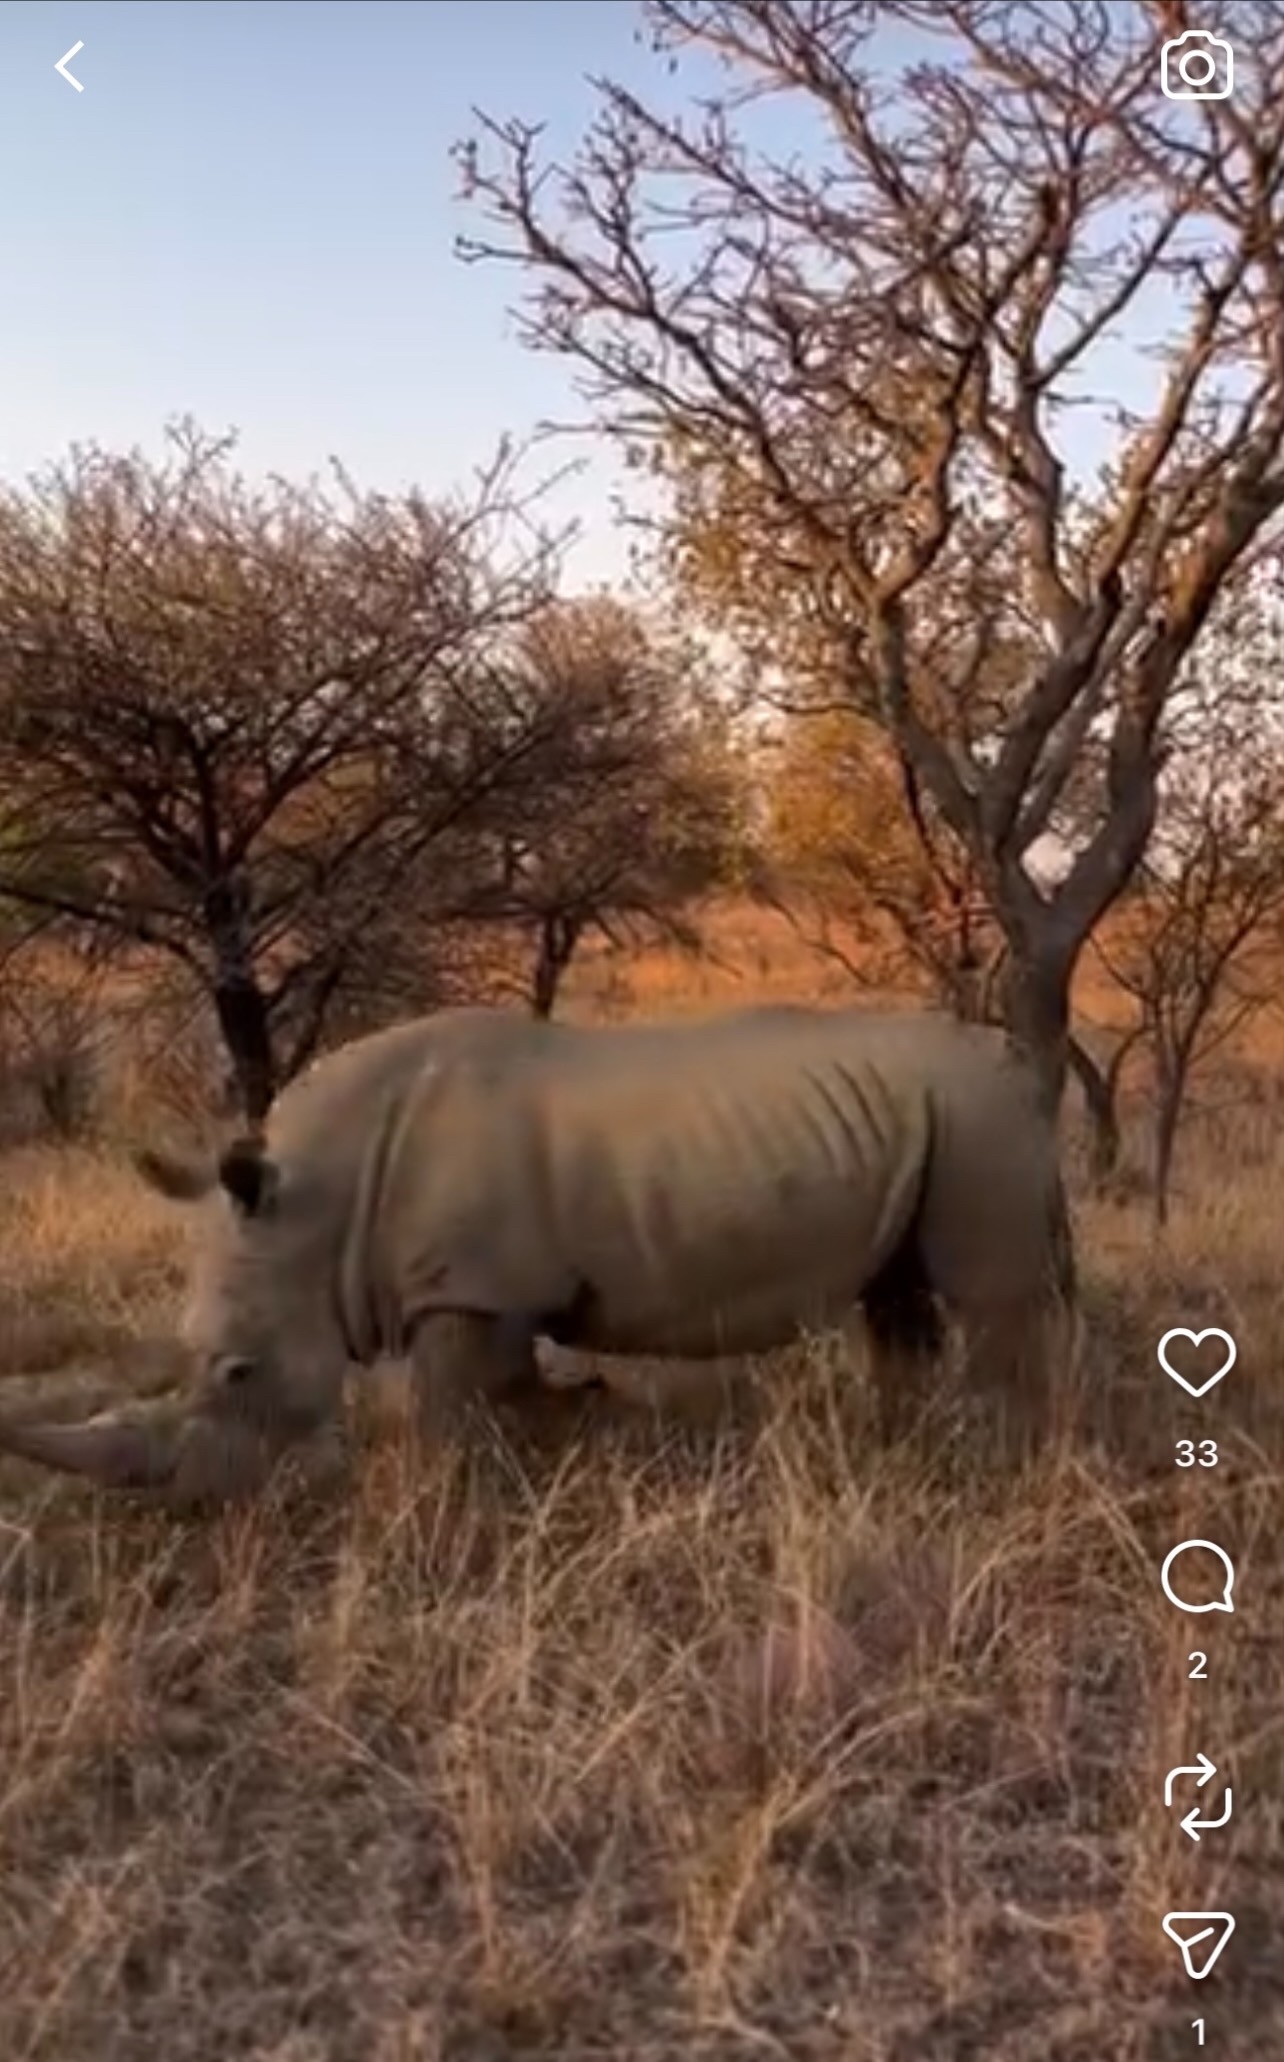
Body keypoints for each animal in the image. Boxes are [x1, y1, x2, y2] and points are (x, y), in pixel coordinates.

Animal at [0, 1003, 1075, 1506]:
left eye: (237, 1371)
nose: (195, 1500)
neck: (321, 1198)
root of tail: (1020, 1061)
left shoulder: (469, 1290)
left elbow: (448, 1409)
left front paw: (446, 1505)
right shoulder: (497, 1289)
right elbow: (508, 1388)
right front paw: (586, 1417)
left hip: (976, 1117)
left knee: (988, 1303)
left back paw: (997, 1469)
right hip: (924, 1118)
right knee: (893, 1297)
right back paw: (899, 1453)